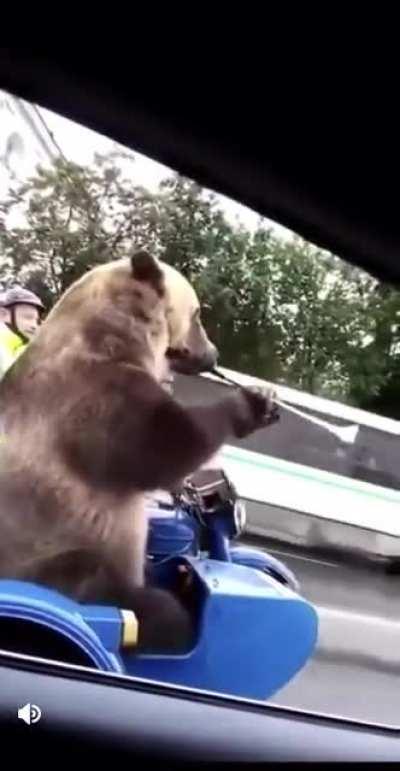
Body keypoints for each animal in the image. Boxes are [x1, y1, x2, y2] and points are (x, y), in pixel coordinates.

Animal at [0, 250, 277, 652]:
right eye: (198, 313)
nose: (213, 353)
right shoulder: (88, 397)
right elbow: (158, 445)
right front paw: (248, 405)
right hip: (47, 560)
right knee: (125, 595)